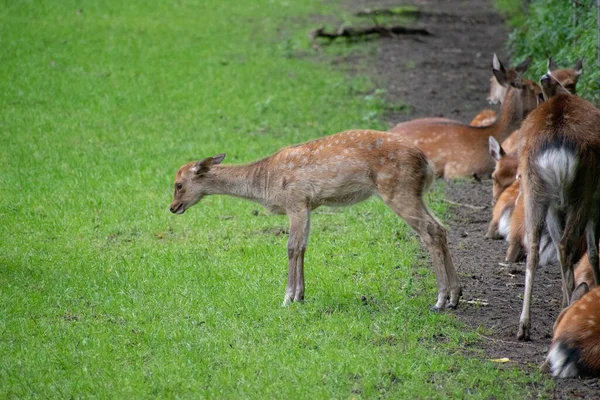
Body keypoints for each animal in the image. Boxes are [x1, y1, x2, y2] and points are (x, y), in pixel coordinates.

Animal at [171, 131, 462, 310]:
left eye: (178, 184)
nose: (172, 208)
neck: (264, 183)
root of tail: (427, 165)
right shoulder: (308, 205)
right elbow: (303, 247)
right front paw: (301, 296)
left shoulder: (295, 201)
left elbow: (291, 247)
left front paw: (287, 298)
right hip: (413, 192)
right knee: (441, 228)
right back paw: (455, 297)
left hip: (397, 189)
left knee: (429, 231)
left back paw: (440, 300)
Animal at [516, 74, 600, 340]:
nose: (546, 77)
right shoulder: (596, 200)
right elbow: (593, 251)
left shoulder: (553, 205)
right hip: (583, 190)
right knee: (566, 243)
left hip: (535, 190)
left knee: (534, 247)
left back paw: (524, 325)